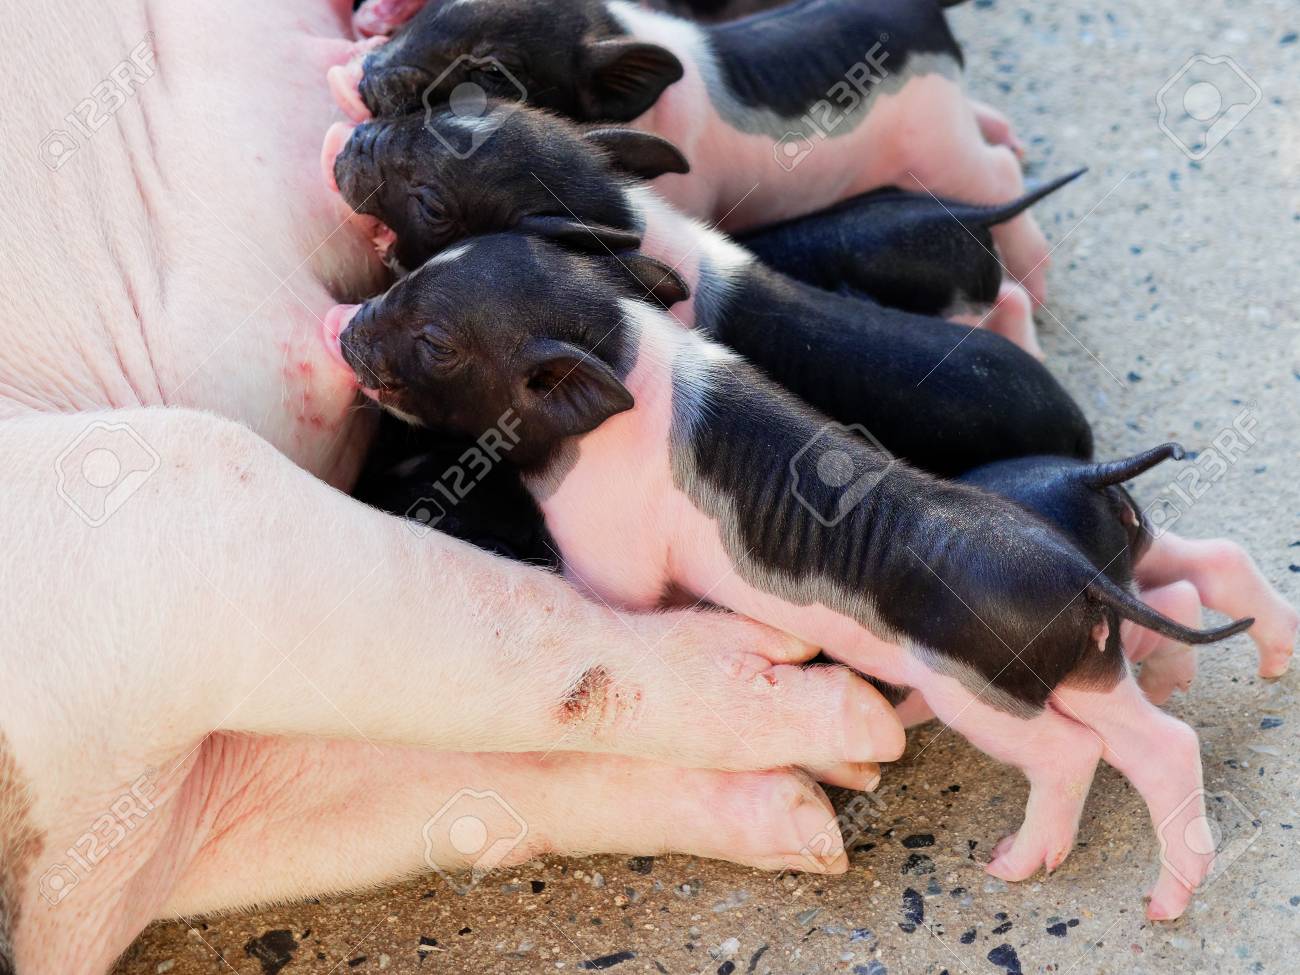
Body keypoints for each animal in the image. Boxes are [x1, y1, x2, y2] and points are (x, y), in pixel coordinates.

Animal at [323, 232, 1278, 919]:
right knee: (1163, 741)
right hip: (1084, 663)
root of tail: (1078, 572)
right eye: (412, 269)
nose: (343, 324)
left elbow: (619, 604)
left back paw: (1013, 866)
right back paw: (1167, 902)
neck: (619, 354)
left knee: (1073, 751)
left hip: (982, 686)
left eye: (437, 341)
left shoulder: (613, 557)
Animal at [331, 0, 1054, 302]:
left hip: (940, 149)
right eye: (429, 11)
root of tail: (928, 17)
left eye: (489, 72)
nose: (364, 76)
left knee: (998, 176)